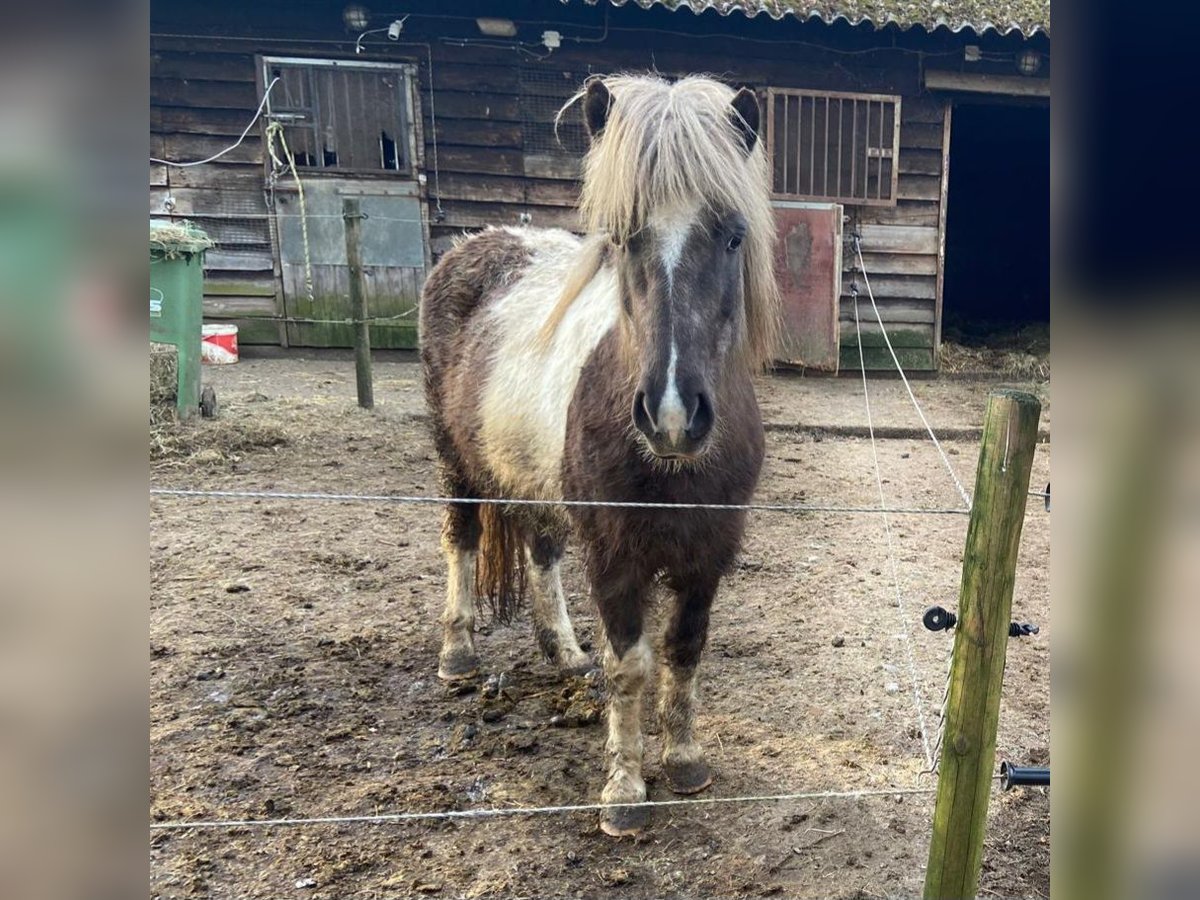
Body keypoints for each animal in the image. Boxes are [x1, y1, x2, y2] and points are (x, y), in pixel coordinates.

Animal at [418, 73, 780, 836]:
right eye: (620, 236)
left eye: (733, 236)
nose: (672, 414)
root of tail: (479, 244)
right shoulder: (615, 554)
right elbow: (631, 666)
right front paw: (624, 791)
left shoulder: (710, 551)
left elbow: (684, 650)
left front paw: (684, 760)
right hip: (457, 463)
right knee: (461, 539)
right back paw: (458, 652)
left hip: (531, 477)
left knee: (539, 551)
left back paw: (563, 651)